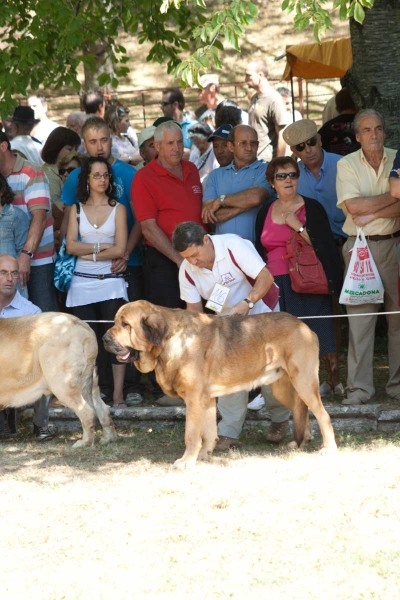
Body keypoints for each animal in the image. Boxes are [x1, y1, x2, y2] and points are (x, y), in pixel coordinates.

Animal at [0, 314, 117, 446]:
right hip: (90, 383)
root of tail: (83, 327)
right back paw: (108, 439)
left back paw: (84, 443)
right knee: (103, 409)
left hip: (62, 385)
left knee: (87, 412)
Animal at [104, 300, 338, 468]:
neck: (168, 342)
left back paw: (329, 448)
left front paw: (186, 461)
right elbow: (208, 432)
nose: (105, 338)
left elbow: (191, 434)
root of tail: (305, 326)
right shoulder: (206, 400)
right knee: (303, 410)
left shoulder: (193, 399)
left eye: (125, 324)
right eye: (115, 322)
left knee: (322, 415)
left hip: (303, 382)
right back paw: (301, 443)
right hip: (284, 388)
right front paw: (204, 455)